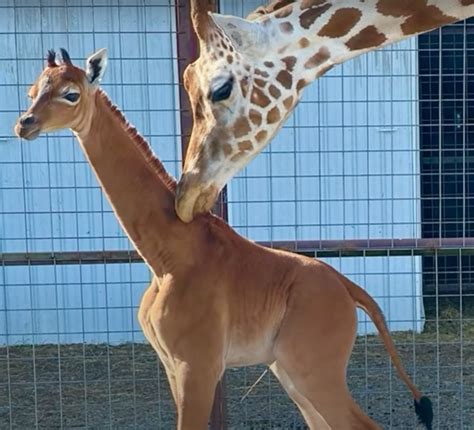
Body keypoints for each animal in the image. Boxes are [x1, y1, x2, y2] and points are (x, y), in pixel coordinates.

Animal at [15, 47, 434, 430]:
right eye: (32, 90)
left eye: (71, 93)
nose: (24, 124)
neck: (166, 255)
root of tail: (349, 289)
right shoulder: (173, 365)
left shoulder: (197, 364)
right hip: (290, 371)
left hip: (313, 368)